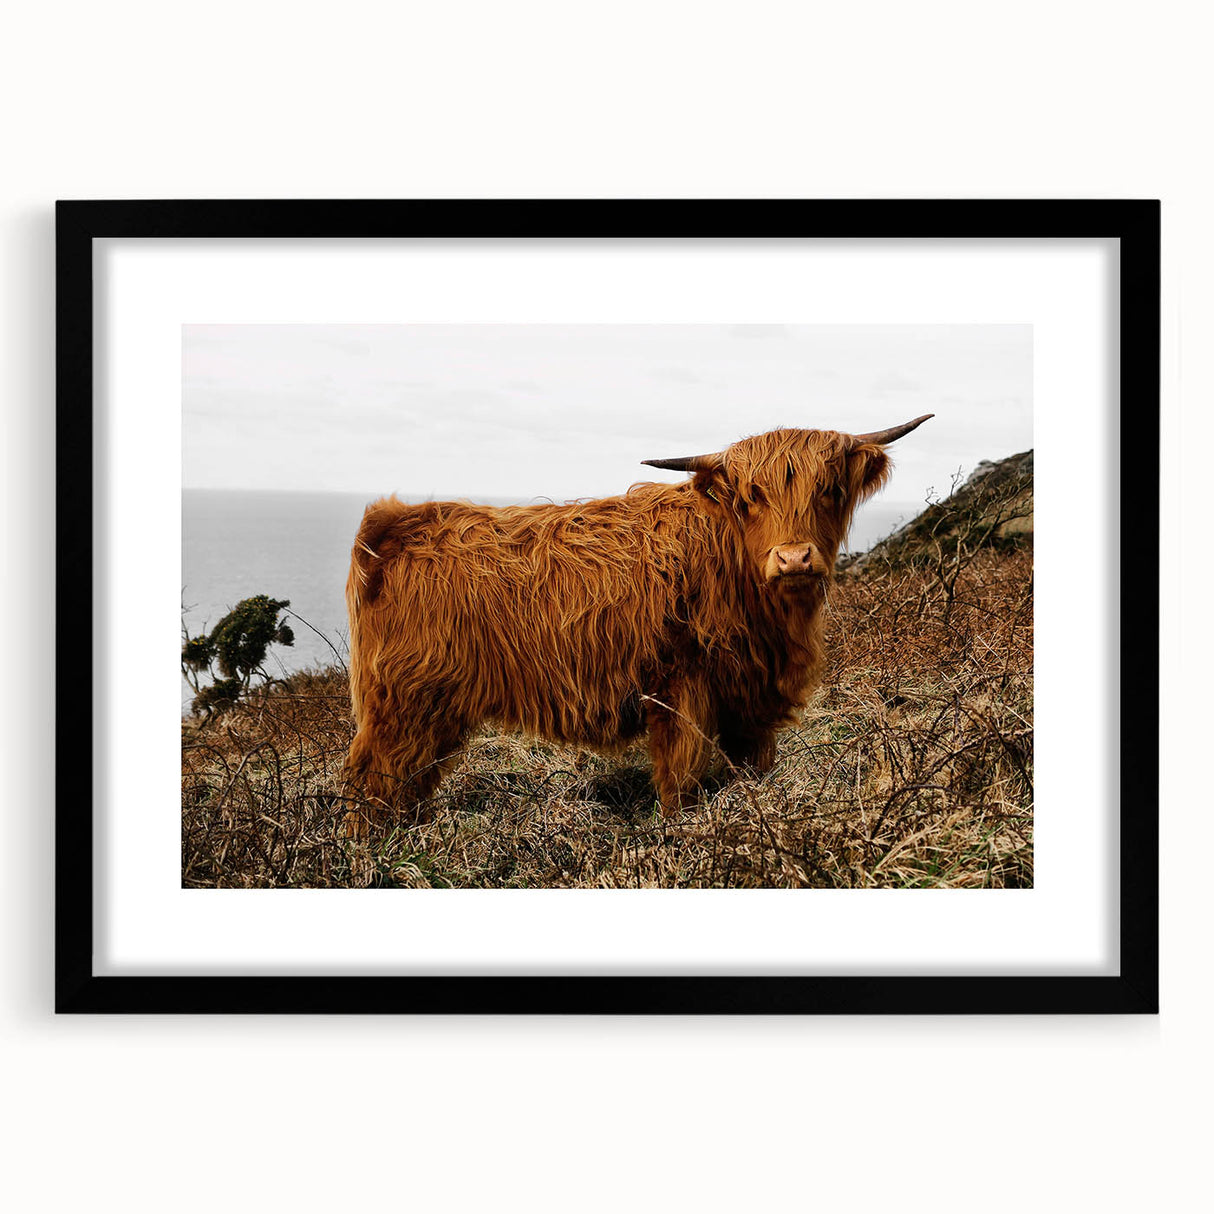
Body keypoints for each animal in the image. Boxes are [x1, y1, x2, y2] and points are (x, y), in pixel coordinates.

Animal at [342, 414, 932, 822]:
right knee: (373, 784)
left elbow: (751, 770)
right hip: (405, 704)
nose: (793, 558)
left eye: (829, 490)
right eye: (751, 497)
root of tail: (395, 522)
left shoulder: (750, 701)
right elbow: (681, 780)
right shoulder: (680, 690)